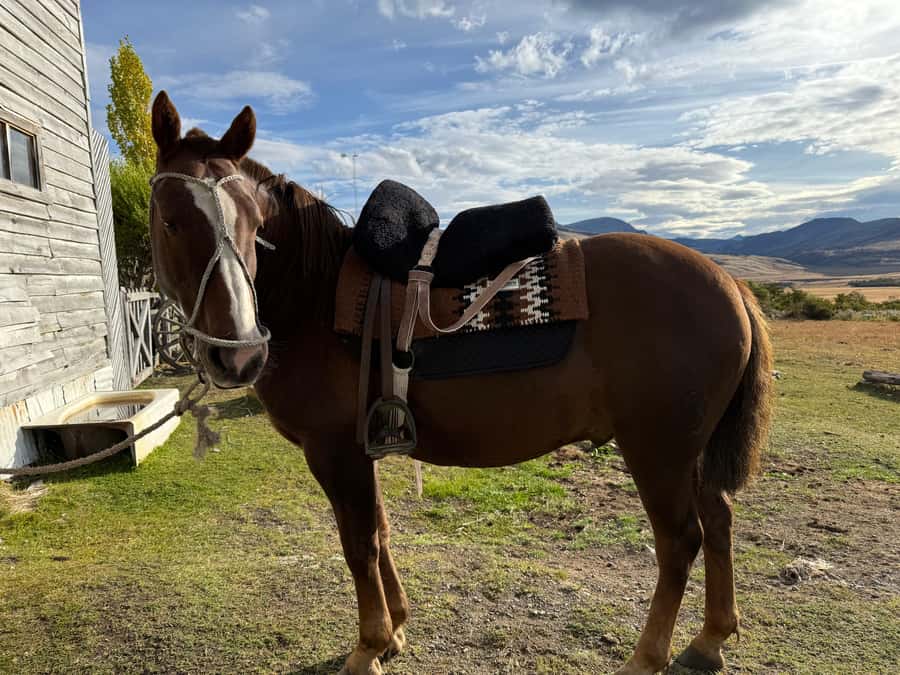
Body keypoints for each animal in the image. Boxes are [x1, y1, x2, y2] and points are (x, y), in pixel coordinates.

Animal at [148, 91, 773, 675]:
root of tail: (730, 283)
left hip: (657, 450)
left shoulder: (334, 451)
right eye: (172, 220)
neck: (315, 294)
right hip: (690, 452)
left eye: (255, 225)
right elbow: (381, 531)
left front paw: (369, 645)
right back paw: (710, 638)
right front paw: (396, 629)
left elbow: (359, 544)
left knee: (680, 541)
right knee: (719, 520)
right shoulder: (363, 445)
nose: (240, 353)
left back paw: (648, 654)